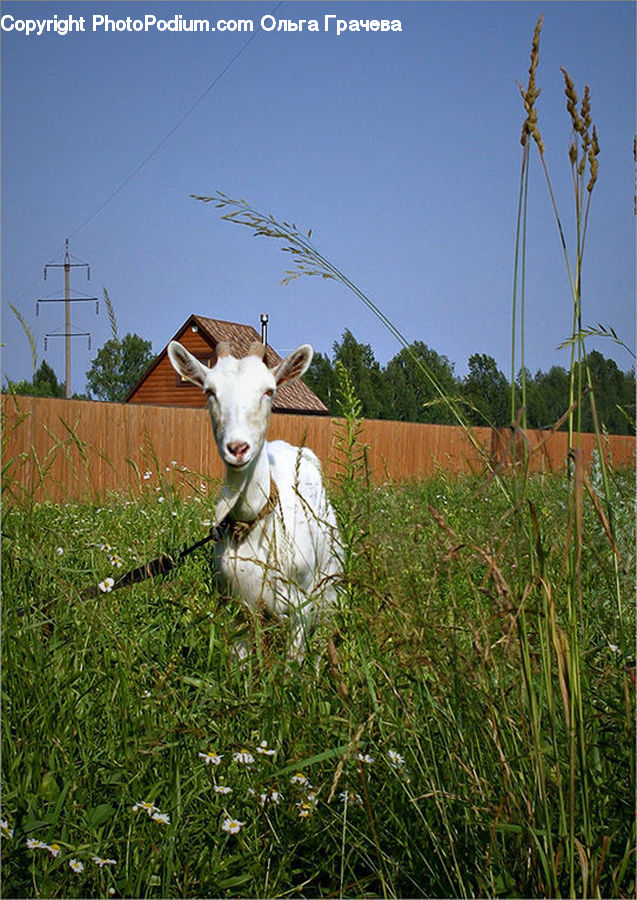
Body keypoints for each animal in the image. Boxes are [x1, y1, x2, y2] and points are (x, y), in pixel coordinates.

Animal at [167, 339, 342, 660]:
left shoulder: (301, 602)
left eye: (268, 390)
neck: (255, 519)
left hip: (330, 583)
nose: (237, 448)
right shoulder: (237, 605)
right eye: (210, 391)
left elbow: (294, 659)